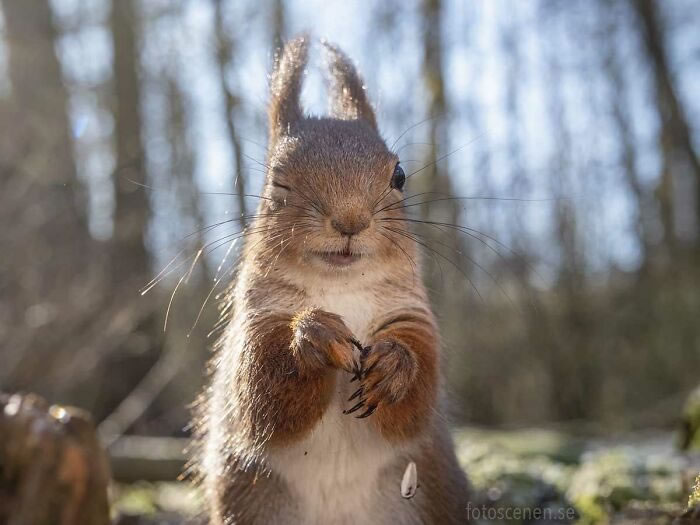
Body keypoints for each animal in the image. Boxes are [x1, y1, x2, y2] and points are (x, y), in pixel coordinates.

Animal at [196, 34, 470, 520]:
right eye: (277, 182)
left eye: (400, 175)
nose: (350, 221)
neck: (340, 288)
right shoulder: (256, 321)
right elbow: (260, 393)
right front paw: (314, 336)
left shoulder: (413, 316)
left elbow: (418, 394)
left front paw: (395, 365)